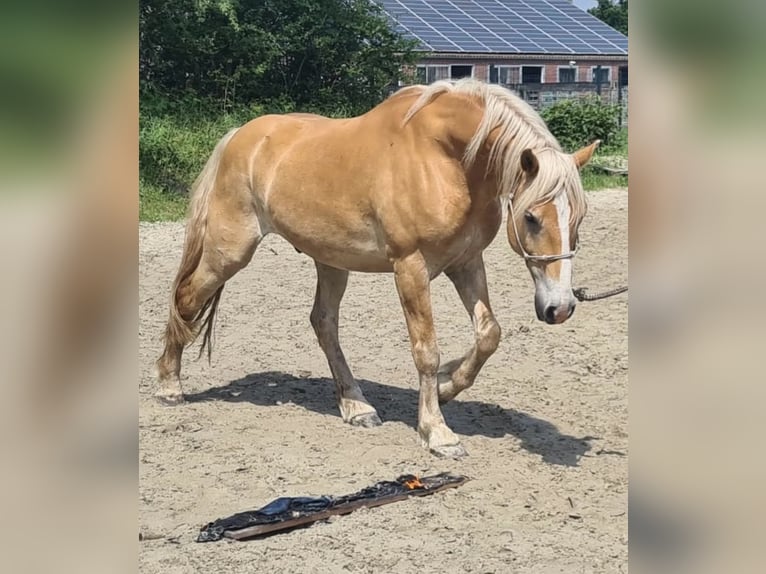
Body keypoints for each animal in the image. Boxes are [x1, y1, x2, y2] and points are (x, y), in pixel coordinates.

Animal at [154, 78, 598, 458]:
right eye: (531, 218)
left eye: (579, 217)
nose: (560, 308)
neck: (444, 156)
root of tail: (240, 136)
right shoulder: (410, 267)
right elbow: (426, 350)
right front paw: (437, 431)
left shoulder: (466, 262)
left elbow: (489, 334)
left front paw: (447, 387)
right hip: (230, 250)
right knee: (187, 298)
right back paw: (169, 386)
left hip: (331, 261)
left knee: (324, 323)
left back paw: (356, 406)